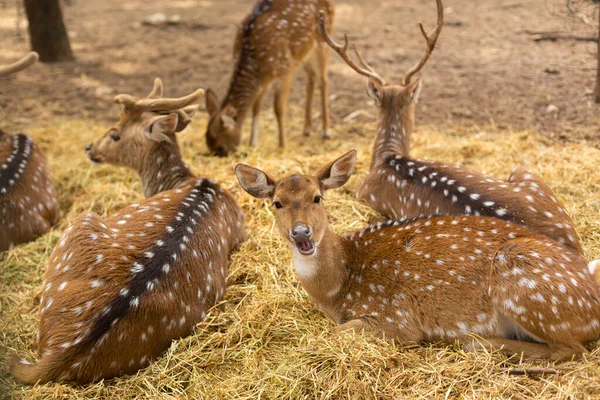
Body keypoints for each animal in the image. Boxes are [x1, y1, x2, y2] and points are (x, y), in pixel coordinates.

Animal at [205, 0, 338, 156]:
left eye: (220, 147)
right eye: (207, 143)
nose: (221, 156)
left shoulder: (285, 69)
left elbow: (278, 108)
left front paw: (282, 146)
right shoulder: (265, 79)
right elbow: (256, 106)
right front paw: (253, 143)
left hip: (324, 40)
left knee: (324, 79)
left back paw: (325, 132)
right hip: (303, 53)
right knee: (312, 77)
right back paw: (306, 130)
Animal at [236, 151, 600, 362]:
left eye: (317, 197)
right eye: (277, 203)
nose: (301, 233)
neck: (339, 286)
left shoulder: (395, 317)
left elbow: (336, 333)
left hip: (524, 287)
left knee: (572, 350)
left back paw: (477, 343)